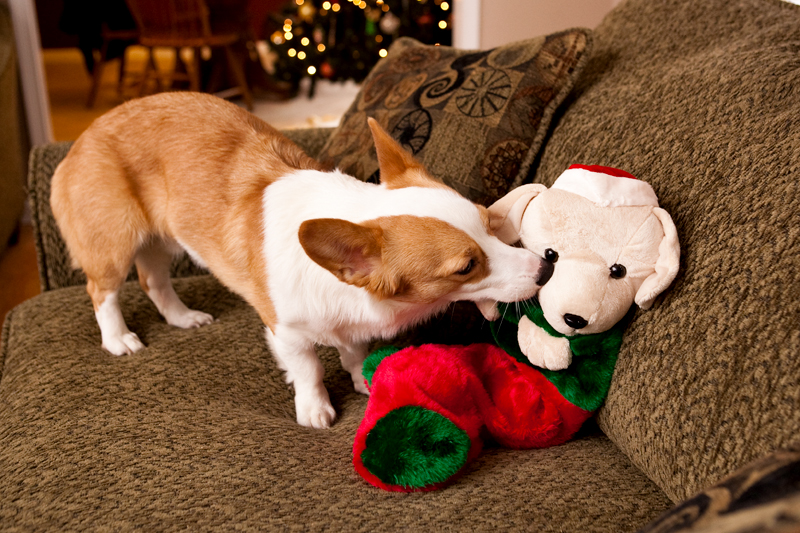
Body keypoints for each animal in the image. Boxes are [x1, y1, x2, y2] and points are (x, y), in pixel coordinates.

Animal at [51, 90, 552, 424]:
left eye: (490, 224)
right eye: (465, 267)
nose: (547, 267)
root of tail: (82, 139)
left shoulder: (351, 323)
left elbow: (353, 351)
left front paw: (362, 380)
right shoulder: (287, 332)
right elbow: (308, 368)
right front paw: (315, 409)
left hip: (161, 241)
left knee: (154, 280)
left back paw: (182, 317)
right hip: (114, 243)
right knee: (102, 291)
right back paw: (118, 339)